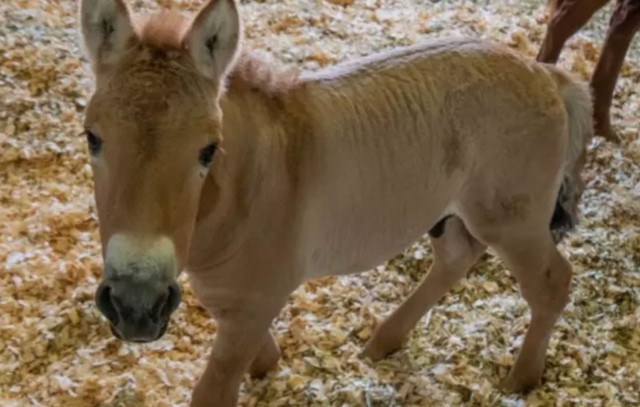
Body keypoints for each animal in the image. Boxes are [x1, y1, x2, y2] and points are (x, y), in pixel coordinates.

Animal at [80, 0, 596, 404]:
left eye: (209, 149)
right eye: (92, 138)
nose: (135, 305)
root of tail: (547, 74)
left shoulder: (255, 301)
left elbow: (215, 389)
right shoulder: (233, 297)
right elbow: (255, 350)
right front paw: (268, 366)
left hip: (512, 221)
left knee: (552, 282)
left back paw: (521, 378)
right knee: (456, 257)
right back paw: (384, 341)